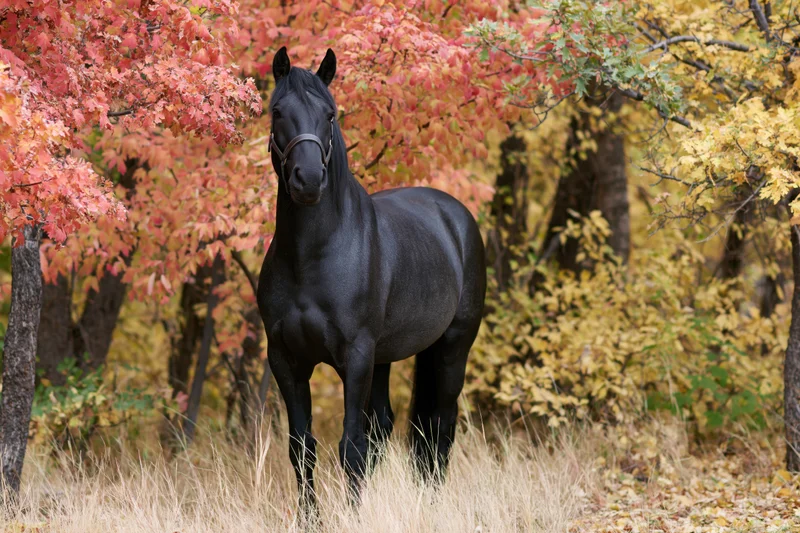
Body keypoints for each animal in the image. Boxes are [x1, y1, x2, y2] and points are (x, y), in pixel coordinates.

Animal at [257, 46, 486, 513]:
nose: (309, 180)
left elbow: (351, 447)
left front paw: (352, 515)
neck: (312, 258)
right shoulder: (287, 361)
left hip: (452, 348)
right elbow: (302, 448)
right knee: (386, 427)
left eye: (329, 114)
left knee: (440, 426)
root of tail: (455, 215)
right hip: (386, 357)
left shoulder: (356, 356)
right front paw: (311, 518)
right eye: (277, 112)